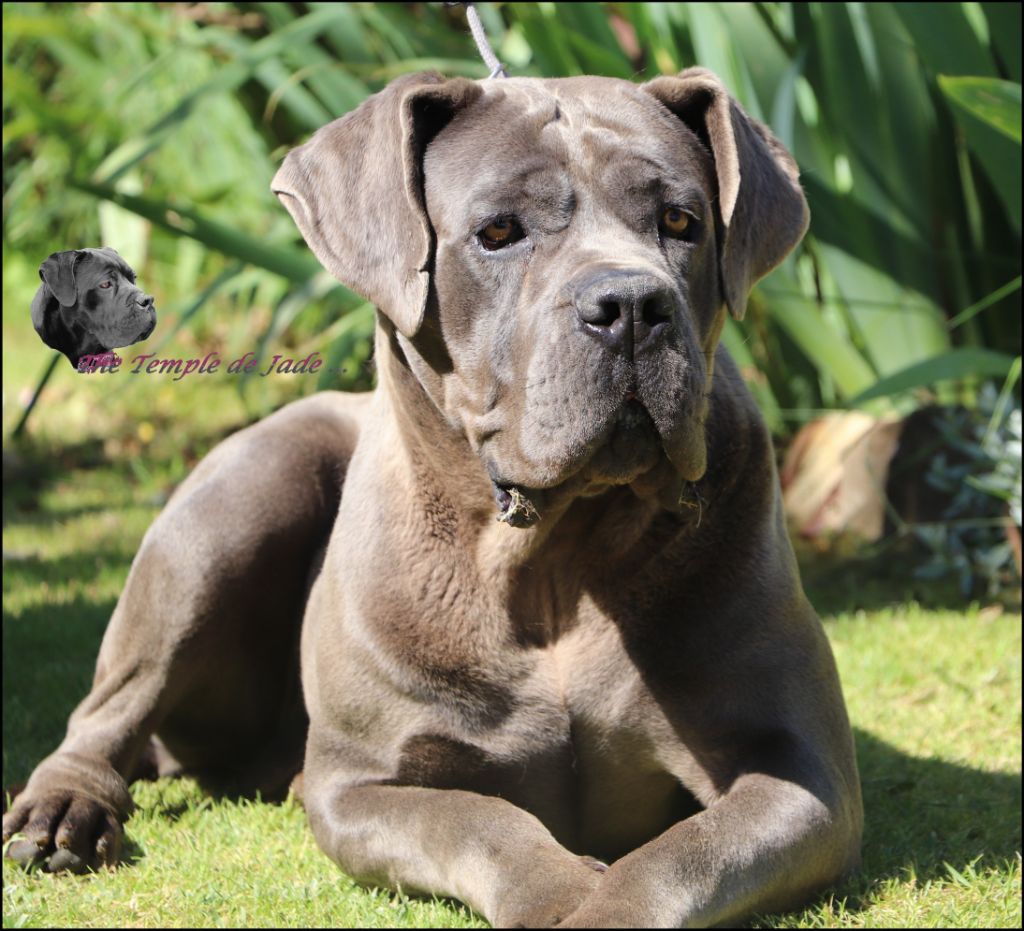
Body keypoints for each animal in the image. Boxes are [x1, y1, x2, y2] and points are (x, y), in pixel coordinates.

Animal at [4, 69, 864, 925]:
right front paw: (559, 890)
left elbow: (682, 855)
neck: (553, 558)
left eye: (681, 220)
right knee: (107, 709)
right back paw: (64, 811)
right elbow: (486, 825)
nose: (630, 306)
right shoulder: (365, 784)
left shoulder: (802, 773)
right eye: (497, 232)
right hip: (230, 511)